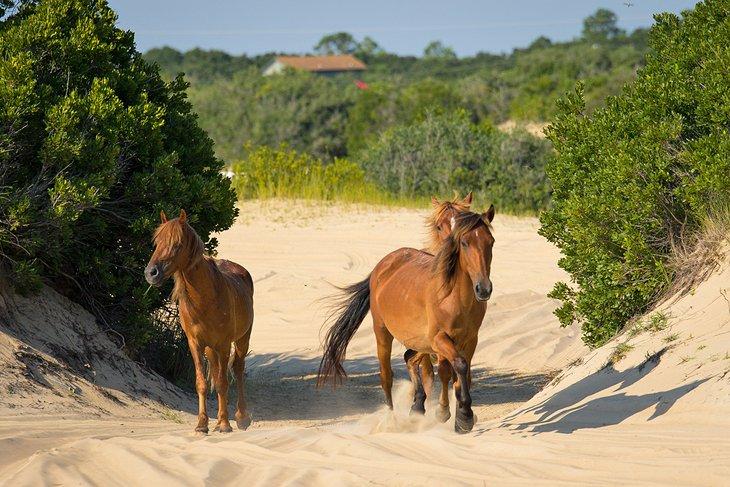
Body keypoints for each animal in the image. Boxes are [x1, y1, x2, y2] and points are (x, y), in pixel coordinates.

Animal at [144, 210, 254, 434]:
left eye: (177, 243)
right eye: (157, 242)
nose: (151, 273)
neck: (205, 299)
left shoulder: (223, 345)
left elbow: (222, 383)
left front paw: (225, 424)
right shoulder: (195, 344)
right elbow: (202, 383)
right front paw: (202, 424)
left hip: (241, 339)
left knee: (237, 370)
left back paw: (241, 417)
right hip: (211, 349)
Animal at [317, 206, 495, 433]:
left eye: (491, 241)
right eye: (464, 243)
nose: (484, 289)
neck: (453, 297)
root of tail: (381, 267)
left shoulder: (469, 340)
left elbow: (461, 373)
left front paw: (459, 417)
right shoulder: (440, 339)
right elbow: (457, 367)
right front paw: (459, 414)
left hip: (420, 341)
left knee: (410, 358)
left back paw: (418, 406)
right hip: (383, 332)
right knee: (386, 376)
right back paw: (391, 420)